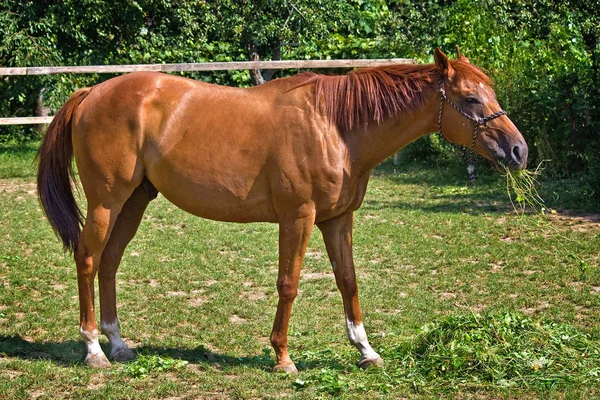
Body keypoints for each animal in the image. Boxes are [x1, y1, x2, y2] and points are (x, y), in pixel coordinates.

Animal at [36, 48, 524, 374]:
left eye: (490, 92)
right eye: (470, 99)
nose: (518, 150)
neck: (336, 126)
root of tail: (92, 92)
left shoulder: (337, 219)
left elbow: (348, 281)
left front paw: (366, 351)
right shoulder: (298, 217)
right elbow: (288, 285)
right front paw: (283, 357)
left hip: (134, 201)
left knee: (109, 262)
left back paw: (118, 344)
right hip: (106, 201)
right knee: (88, 258)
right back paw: (93, 350)